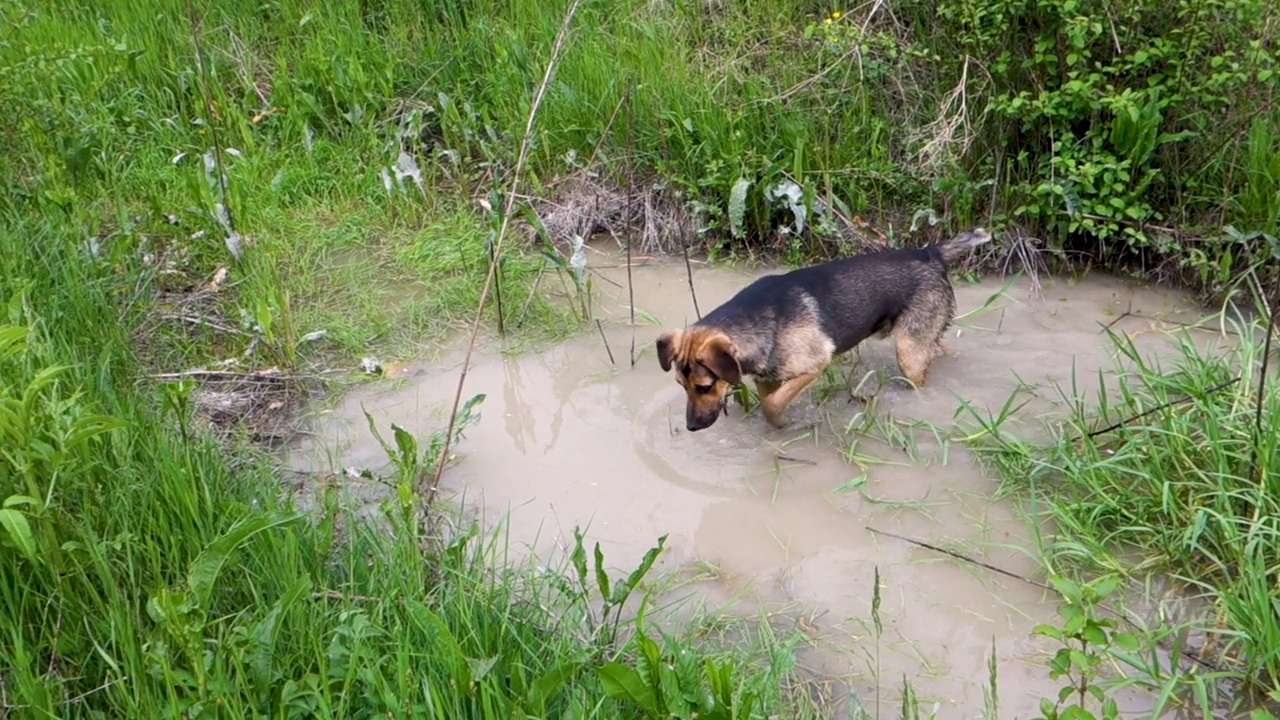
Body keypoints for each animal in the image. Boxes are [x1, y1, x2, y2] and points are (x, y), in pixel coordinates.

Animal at [655, 226, 993, 427]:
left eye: (704, 387)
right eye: (680, 386)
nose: (691, 427)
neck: (758, 319)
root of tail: (930, 253)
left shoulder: (815, 363)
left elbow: (772, 405)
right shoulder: (768, 377)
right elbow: (769, 404)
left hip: (909, 353)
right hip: (925, 336)